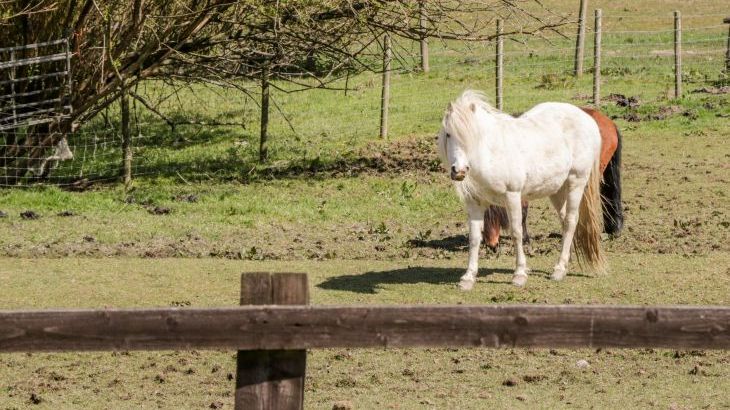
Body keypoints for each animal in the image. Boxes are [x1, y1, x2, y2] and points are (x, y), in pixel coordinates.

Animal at [438, 89, 604, 288]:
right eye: (448, 134)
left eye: (472, 135)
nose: (459, 170)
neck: (492, 153)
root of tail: (588, 119)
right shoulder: (475, 203)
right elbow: (474, 238)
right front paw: (468, 277)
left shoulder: (512, 196)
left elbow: (516, 232)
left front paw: (519, 274)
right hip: (557, 190)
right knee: (565, 221)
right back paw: (563, 265)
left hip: (576, 182)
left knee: (571, 220)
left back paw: (558, 269)